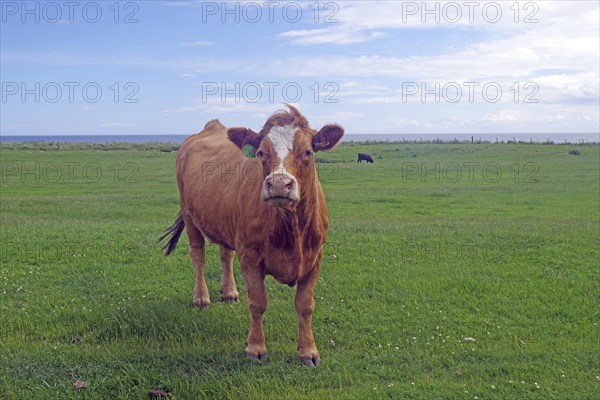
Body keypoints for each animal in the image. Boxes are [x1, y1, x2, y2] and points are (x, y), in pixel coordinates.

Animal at [162, 104, 344, 366]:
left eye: (308, 152)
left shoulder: (315, 256)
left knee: (225, 254)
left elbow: (305, 305)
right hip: (189, 216)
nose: (278, 184)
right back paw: (201, 297)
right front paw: (256, 348)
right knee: (198, 257)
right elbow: (258, 303)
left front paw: (308, 351)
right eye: (260, 152)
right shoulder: (250, 255)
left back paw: (229, 292)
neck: (291, 228)